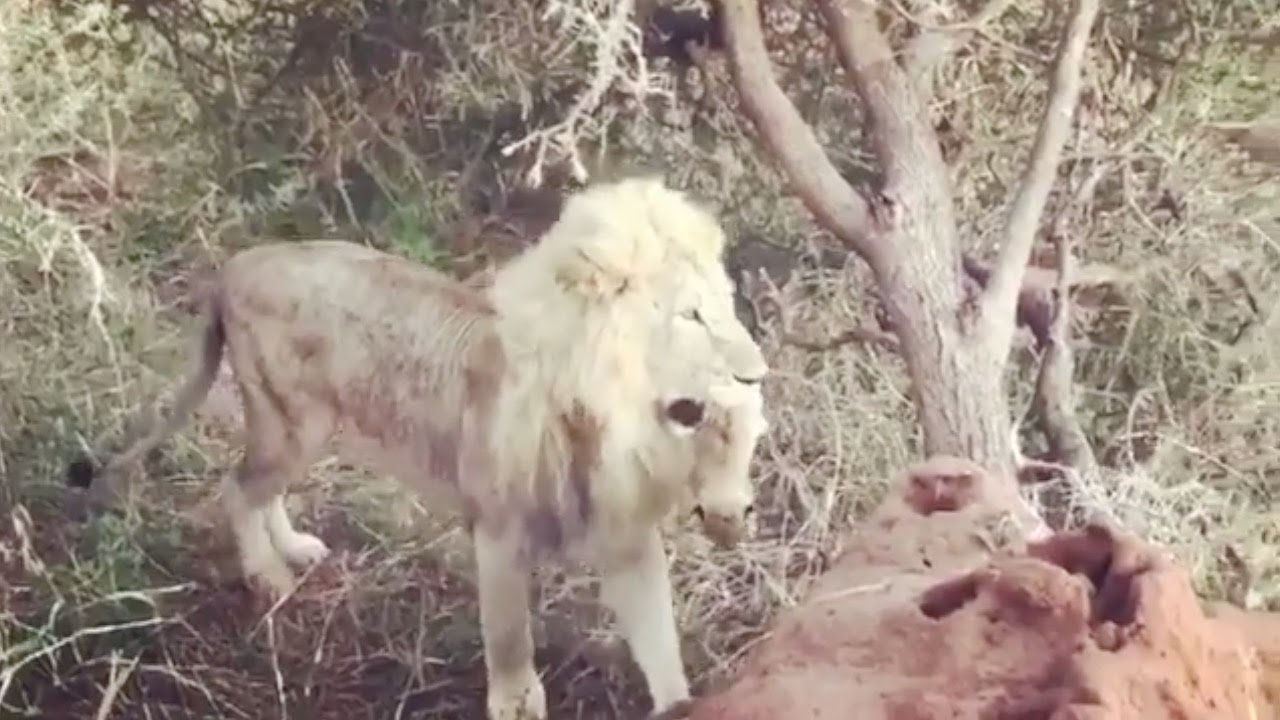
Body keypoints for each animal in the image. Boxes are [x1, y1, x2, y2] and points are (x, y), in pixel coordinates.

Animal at [67, 176, 771, 720]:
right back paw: (269, 577)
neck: (617, 423)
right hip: (295, 422)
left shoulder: (628, 542)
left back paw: (293, 548)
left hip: (302, 426)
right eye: (692, 314)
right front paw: (515, 703)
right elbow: (511, 643)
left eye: (745, 442)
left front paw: (684, 701)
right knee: (238, 488)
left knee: (260, 489)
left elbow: (662, 646)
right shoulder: (499, 535)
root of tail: (235, 266)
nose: (756, 370)